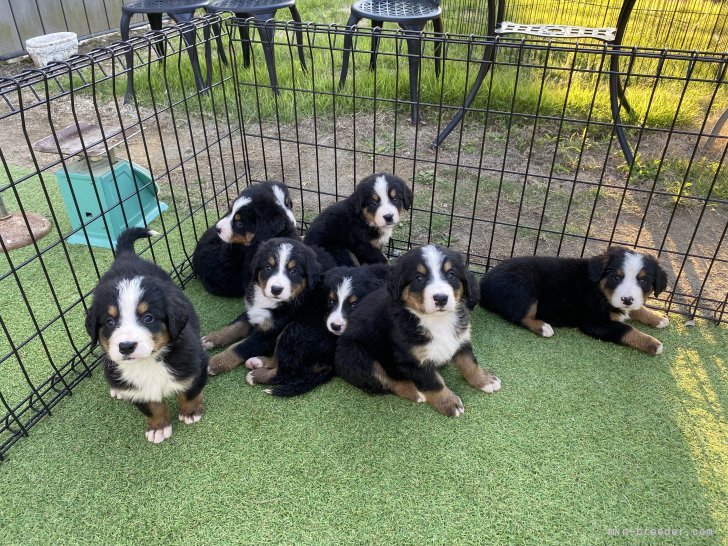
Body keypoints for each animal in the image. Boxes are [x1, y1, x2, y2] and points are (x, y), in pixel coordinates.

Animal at [84, 225, 208, 442]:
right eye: (109, 322)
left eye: (148, 318)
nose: (126, 347)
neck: (147, 363)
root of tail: (126, 256)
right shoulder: (137, 390)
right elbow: (151, 407)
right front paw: (158, 427)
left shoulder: (195, 363)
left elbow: (190, 391)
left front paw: (191, 412)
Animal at [203, 237, 336, 374]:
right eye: (268, 267)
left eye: (293, 271)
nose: (276, 289)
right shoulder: (253, 312)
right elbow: (234, 328)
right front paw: (211, 339)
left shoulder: (268, 334)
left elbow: (240, 347)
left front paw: (215, 362)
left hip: (294, 329)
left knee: (281, 365)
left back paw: (256, 366)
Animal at [245, 264, 392, 396]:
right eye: (330, 301)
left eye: (354, 305)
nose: (335, 326)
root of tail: (328, 362)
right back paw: (257, 362)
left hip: (294, 329)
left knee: (284, 373)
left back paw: (254, 375)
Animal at [334, 244, 500, 414]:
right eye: (419, 278)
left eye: (451, 275)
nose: (441, 298)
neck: (436, 320)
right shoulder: (412, 358)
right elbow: (433, 382)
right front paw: (449, 403)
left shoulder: (460, 339)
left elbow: (470, 363)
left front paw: (485, 380)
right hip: (357, 355)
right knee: (386, 381)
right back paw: (415, 391)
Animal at [478, 245, 672, 352]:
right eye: (616, 277)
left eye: (643, 280)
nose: (627, 299)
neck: (599, 289)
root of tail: (485, 282)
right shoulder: (595, 323)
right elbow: (626, 329)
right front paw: (653, 344)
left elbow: (638, 309)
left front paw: (658, 318)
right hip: (525, 285)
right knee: (519, 316)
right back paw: (543, 327)